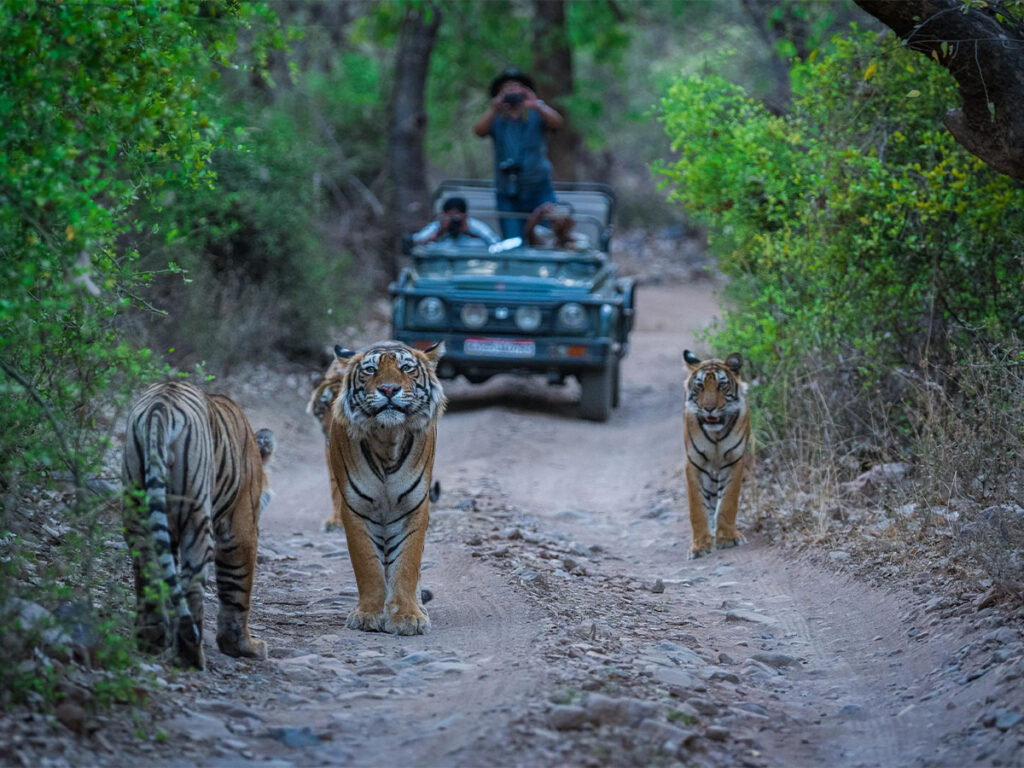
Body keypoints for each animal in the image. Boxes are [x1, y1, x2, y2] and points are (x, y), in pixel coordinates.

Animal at [121, 382, 274, 671]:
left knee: (149, 571)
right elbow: (237, 589)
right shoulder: (242, 528)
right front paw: (243, 646)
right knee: (191, 584)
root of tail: (160, 407)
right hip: (197, 519)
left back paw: (151, 640)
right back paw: (190, 655)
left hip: (137, 510)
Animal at [323, 342, 444, 638]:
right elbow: (367, 564)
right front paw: (368, 615)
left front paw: (408, 617)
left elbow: (407, 564)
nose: (389, 390)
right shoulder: (356, 508)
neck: (387, 439)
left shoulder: (414, 506)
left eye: (406, 368)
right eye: (370, 370)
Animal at [684, 354, 749, 561]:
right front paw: (699, 546)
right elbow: (697, 508)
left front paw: (728, 538)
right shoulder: (694, 463)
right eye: (700, 386)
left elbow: (728, 501)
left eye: (722, 386)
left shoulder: (734, 460)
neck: (716, 435)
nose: (709, 408)